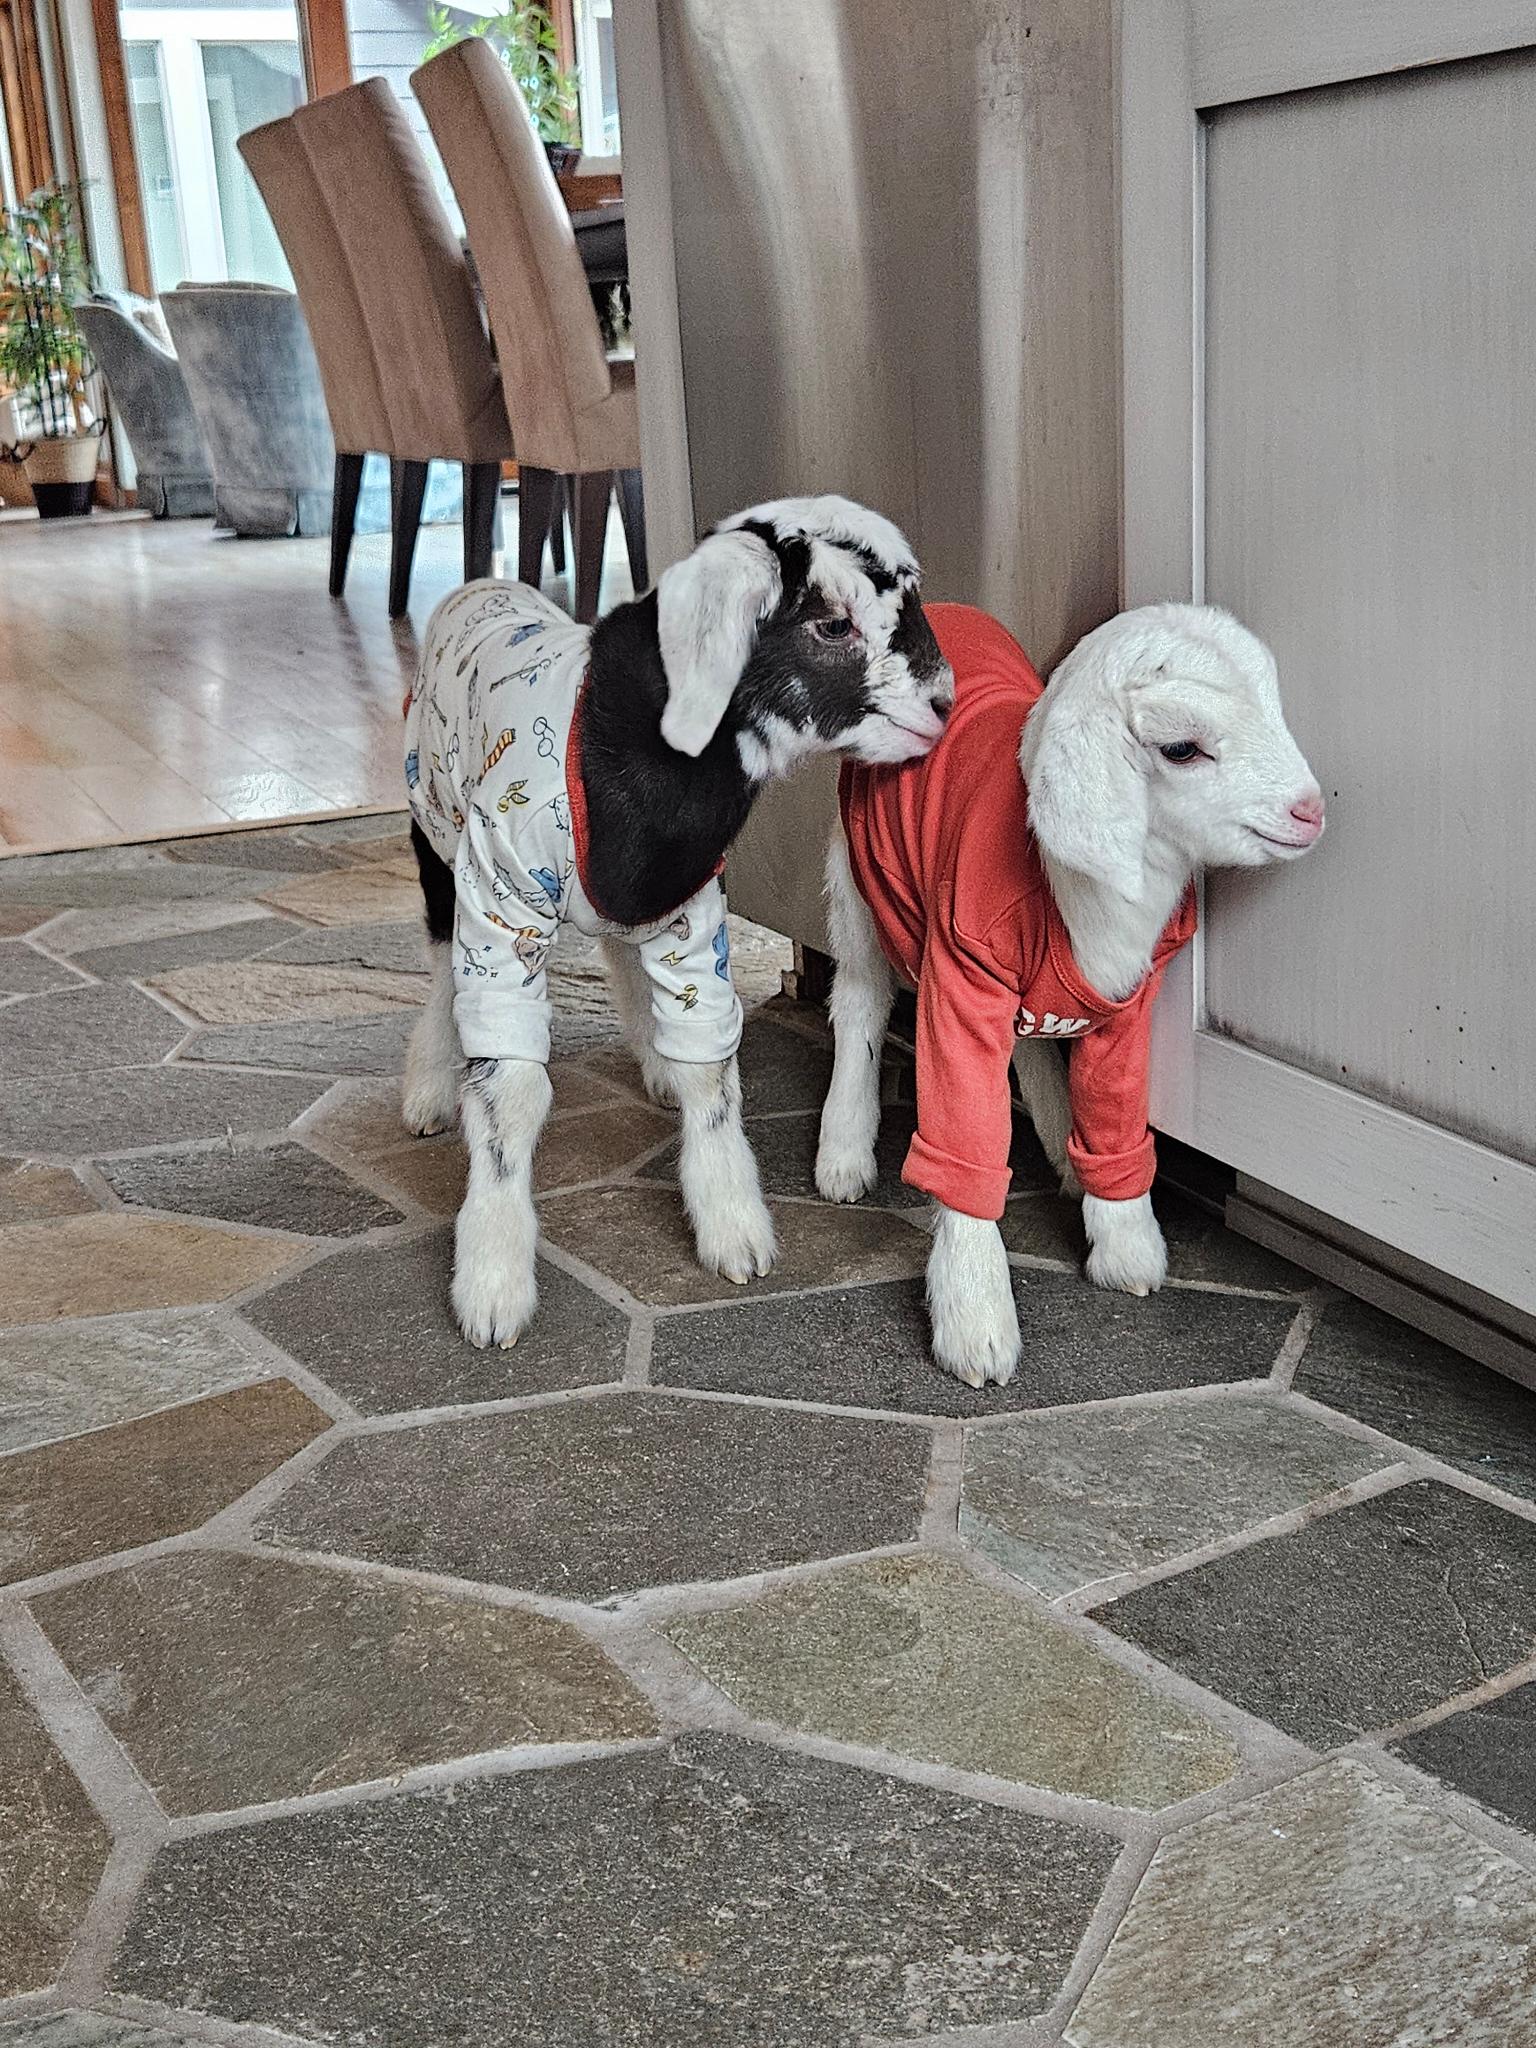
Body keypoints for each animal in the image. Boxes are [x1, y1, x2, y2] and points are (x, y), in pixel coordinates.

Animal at [403, 495, 954, 1348]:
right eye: (832, 624)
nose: (943, 705)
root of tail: (483, 586)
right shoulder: (500, 899)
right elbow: (509, 1088)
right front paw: (493, 1285)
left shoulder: (693, 915)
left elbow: (709, 1068)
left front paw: (734, 1230)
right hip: (436, 833)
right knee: (439, 970)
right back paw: (430, 1087)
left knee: (621, 958)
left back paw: (652, 1064)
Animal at [817, 601, 1324, 1388]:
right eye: (1182, 748)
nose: (1309, 812)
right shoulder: (963, 968)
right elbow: (964, 1138)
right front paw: (975, 1322)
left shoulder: (1128, 1006)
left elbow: (1114, 1118)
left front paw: (1126, 1247)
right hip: (857, 871)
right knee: (859, 1000)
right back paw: (843, 1154)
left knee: (1023, 1047)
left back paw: (1060, 1147)